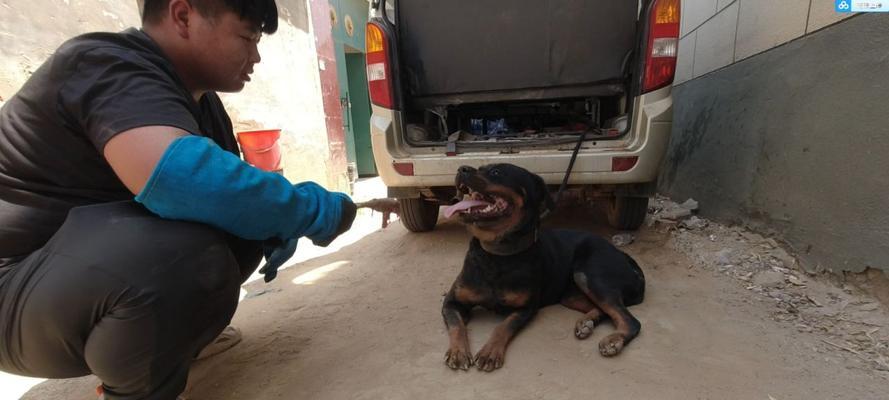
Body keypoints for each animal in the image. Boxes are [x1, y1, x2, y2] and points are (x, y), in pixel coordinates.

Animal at [438, 164, 640, 370]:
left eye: (496, 172)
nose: (461, 169)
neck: (497, 255)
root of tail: (625, 257)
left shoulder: (525, 309)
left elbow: (503, 326)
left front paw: (490, 351)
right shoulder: (452, 302)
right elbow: (456, 325)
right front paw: (458, 351)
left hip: (588, 274)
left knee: (630, 321)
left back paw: (614, 340)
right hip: (570, 295)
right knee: (603, 310)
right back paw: (586, 322)